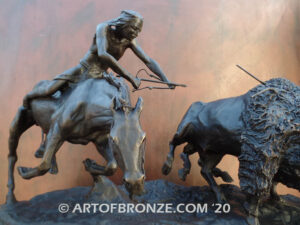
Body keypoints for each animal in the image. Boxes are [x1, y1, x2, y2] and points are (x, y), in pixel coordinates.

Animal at [6, 75, 147, 204]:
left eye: (143, 138)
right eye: (113, 139)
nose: (135, 183)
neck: (89, 105)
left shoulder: (100, 141)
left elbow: (111, 166)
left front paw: (90, 165)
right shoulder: (57, 130)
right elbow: (43, 164)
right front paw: (23, 171)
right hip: (21, 119)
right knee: (12, 155)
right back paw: (10, 197)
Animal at [162, 78, 300, 225]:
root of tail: (195, 104)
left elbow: (274, 181)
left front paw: (279, 199)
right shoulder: (260, 159)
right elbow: (257, 188)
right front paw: (252, 218)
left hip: (213, 151)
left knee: (203, 168)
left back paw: (220, 190)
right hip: (184, 131)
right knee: (173, 143)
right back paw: (168, 167)